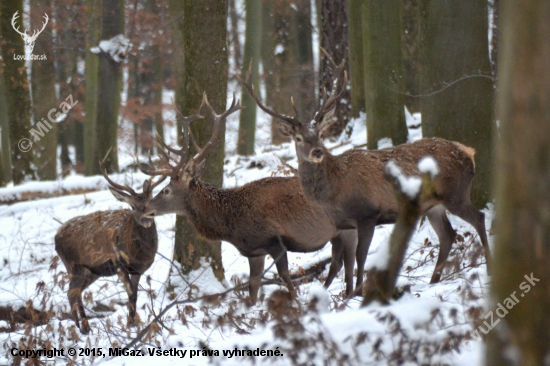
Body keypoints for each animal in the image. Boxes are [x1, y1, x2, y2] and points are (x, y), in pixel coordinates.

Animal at [54, 150, 165, 334]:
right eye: (133, 207)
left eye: (151, 201)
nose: (147, 218)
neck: (138, 254)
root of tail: (55, 237)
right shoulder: (119, 264)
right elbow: (130, 294)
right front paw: (130, 326)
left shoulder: (138, 270)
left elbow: (134, 295)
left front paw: (131, 324)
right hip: (73, 264)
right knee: (72, 292)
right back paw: (82, 327)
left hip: (91, 271)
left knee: (75, 292)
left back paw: (81, 326)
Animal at [140, 93, 360, 304]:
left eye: (166, 190)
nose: (145, 209)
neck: (232, 225)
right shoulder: (255, 250)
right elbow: (253, 287)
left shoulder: (274, 240)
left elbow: (285, 278)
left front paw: (296, 304)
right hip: (335, 233)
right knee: (337, 263)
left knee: (350, 261)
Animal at [242, 53, 492, 294]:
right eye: (298, 138)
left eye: (321, 135)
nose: (317, 151)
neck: (334, 192)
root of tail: (468, 152)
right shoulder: (344, 225)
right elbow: (348, 261)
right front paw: (348, 294)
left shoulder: (367, 214)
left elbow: (361, 257)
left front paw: (358, 292)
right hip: (433, 206)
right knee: (448, 235)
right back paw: (433, 282)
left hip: (456, 194)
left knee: (479, 218)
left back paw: (489, 268)